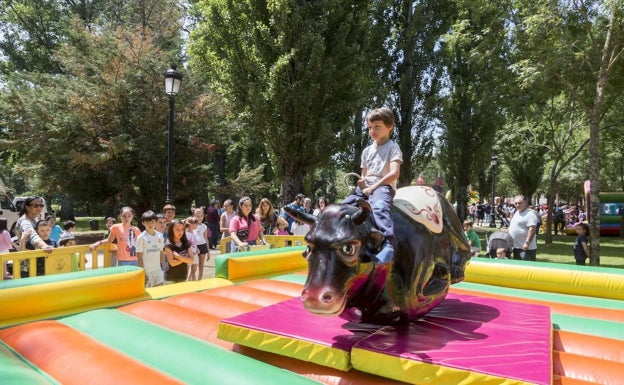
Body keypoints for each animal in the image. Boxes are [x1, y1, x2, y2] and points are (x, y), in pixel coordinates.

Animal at [286, 184, 470, 322]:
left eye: (348, 248)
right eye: (308, 248)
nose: (313, 297)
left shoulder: (415, 290)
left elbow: (423, 299)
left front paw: (444, 272)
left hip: (454, 224)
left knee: (465, 250)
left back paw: (455, 269)